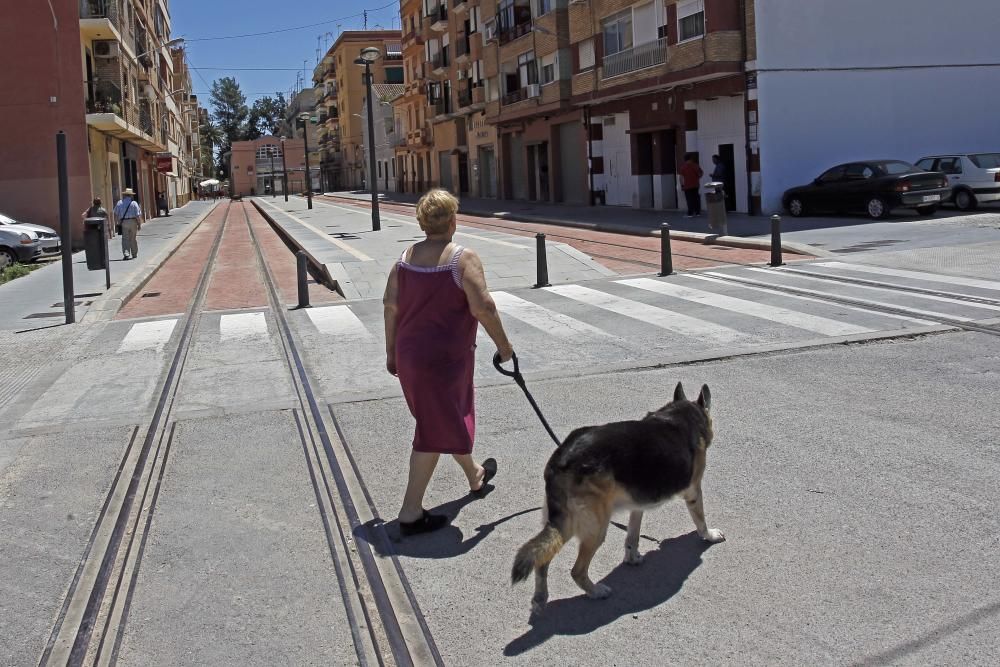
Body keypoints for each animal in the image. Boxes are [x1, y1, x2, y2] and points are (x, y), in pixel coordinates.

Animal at [512, 384, 724, 612]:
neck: (680, 413)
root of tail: (562, 460)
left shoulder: (638, 505)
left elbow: (632, 535)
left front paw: (632, 557)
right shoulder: (694, 491)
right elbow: (701, 521)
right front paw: (710, 535)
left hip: (563, 524)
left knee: (542, 561)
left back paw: (540, 598)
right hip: (594, 527)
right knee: (576, 570)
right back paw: (595, 591)